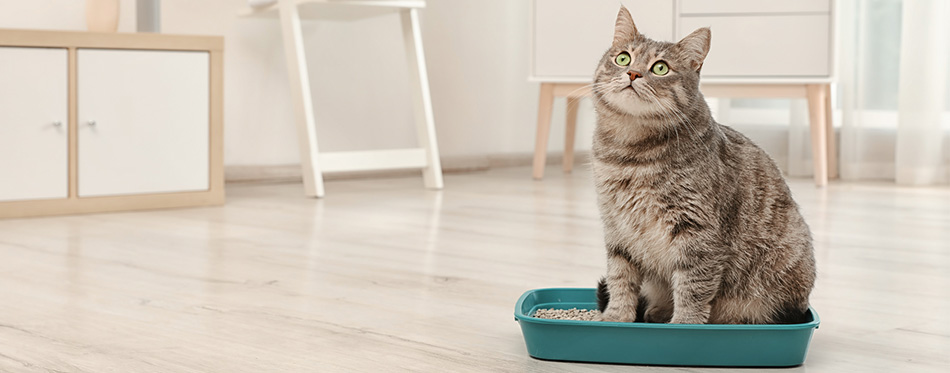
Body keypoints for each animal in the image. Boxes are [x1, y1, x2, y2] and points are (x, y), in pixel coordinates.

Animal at [596, 7, 820, 324]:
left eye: (660, 68)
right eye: (623, 58)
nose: (633, 73)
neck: (630, 152)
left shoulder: (698, 232)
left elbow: (693, 286)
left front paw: (684, 324)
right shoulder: (617, 228)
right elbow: (620, 278)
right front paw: (616, 317)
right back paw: (655, 312)